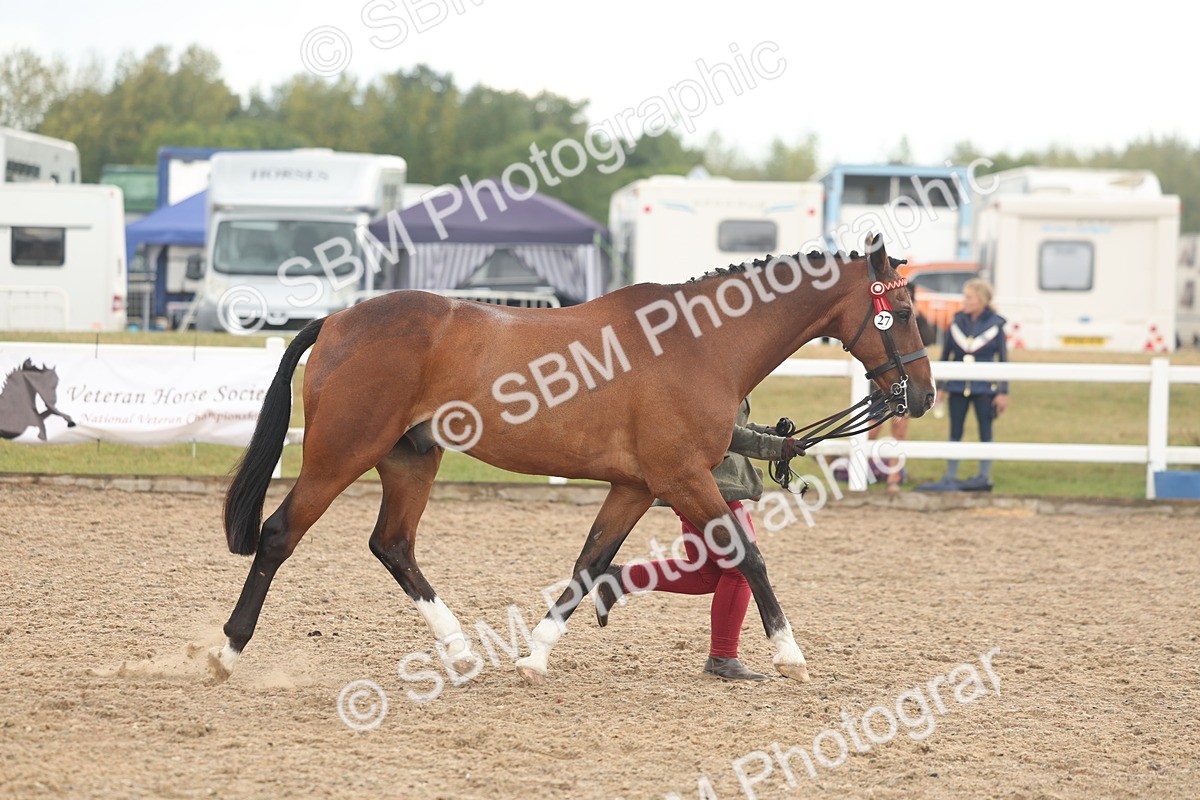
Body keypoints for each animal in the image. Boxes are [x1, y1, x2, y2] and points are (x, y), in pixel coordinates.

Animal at [208, 233, 935, 686]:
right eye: (900, 311)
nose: (924, 395)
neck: (703, 342)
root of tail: (337, 320)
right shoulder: (683, 477)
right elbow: (749, 556)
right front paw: (790, 654)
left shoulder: (635, 486)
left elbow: (590, 563)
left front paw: (535, 657)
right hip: (340, 454)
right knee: (279, 535)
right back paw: (226, 651)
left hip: (411, 459)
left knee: (392, 546)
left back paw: (462, 652)